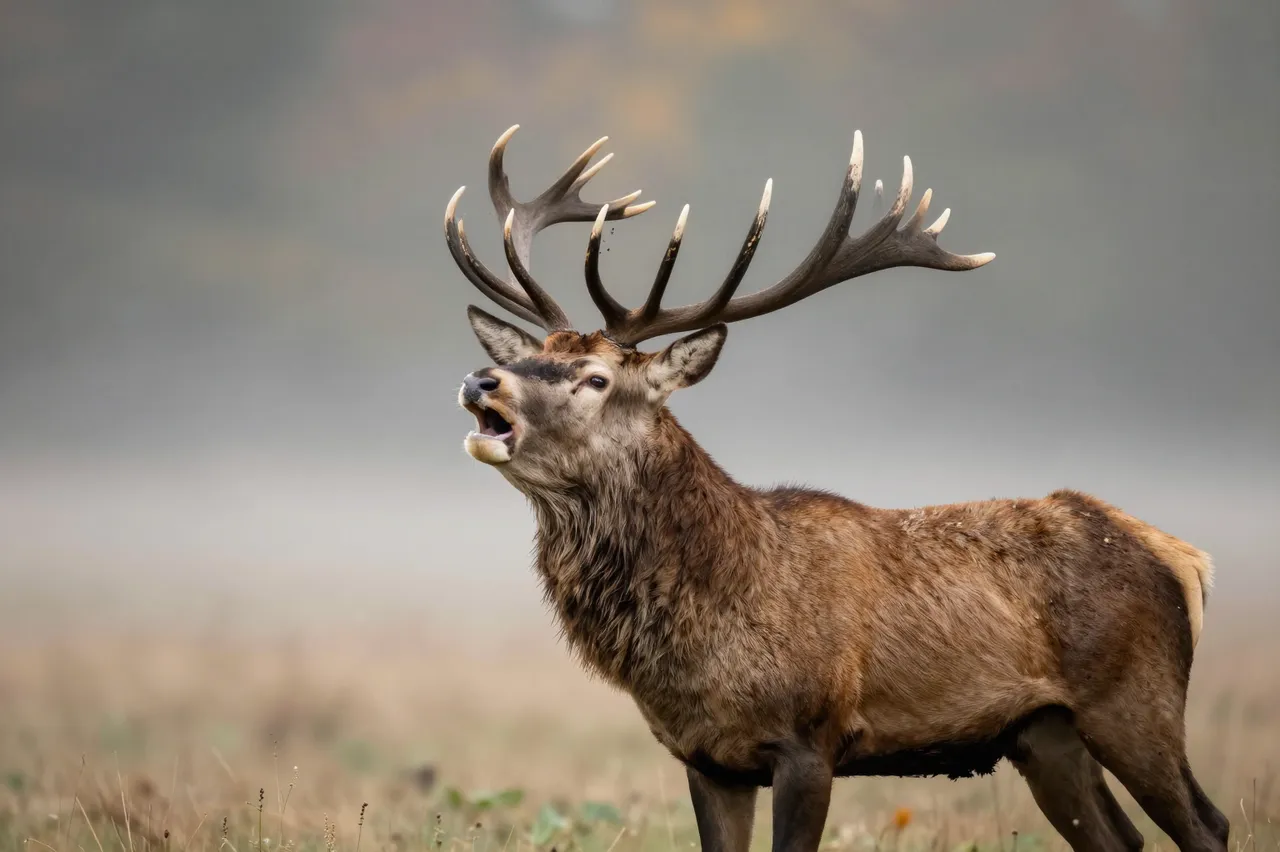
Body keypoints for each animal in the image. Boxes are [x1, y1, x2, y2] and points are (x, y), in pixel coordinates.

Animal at [443, 124, 1228, 852]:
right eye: (538, 354)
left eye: (597, 379)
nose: (482, 379)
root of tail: (1180, 555)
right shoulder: (707, 759)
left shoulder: (810, 737)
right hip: (1045, 733)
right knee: (1120, 838)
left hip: (1135, 698)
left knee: (1207, 823)